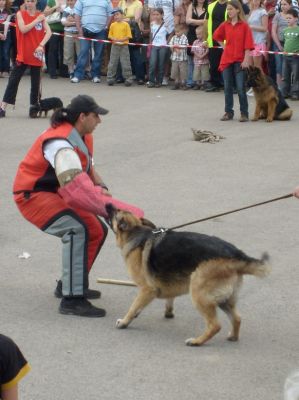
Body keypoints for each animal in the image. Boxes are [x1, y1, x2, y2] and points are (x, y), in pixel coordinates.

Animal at [106, 206, 270, 346]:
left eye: (115, 211)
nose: (108, 204)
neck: (137, 233)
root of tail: (236, 254)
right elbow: (168, 299)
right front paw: (168, 312)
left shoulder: (146, 290)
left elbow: (133, 308)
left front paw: (125, 322)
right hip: (223, 299)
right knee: (237, 318)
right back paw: (233, 337)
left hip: (198, 292)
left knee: (215, 325)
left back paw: (197, 341)